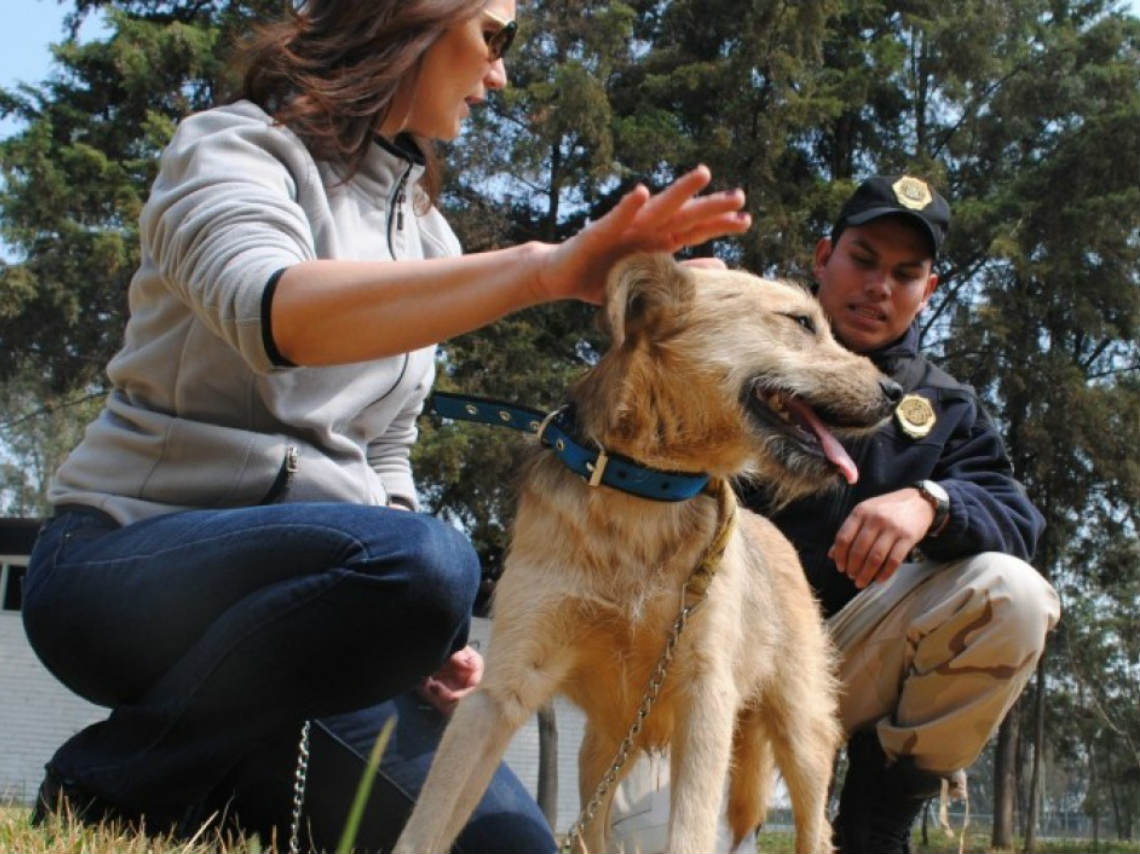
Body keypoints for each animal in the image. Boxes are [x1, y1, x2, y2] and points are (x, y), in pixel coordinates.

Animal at [396, 253, 902, 852]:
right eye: (802, 322)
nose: (896, 391)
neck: (642, 491)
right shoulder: (500, 690)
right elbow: (426, 824)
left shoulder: (706, 696)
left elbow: (690, 831)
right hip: (603, 751)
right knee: (595, 829)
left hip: (801, 735)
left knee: (814, 828)